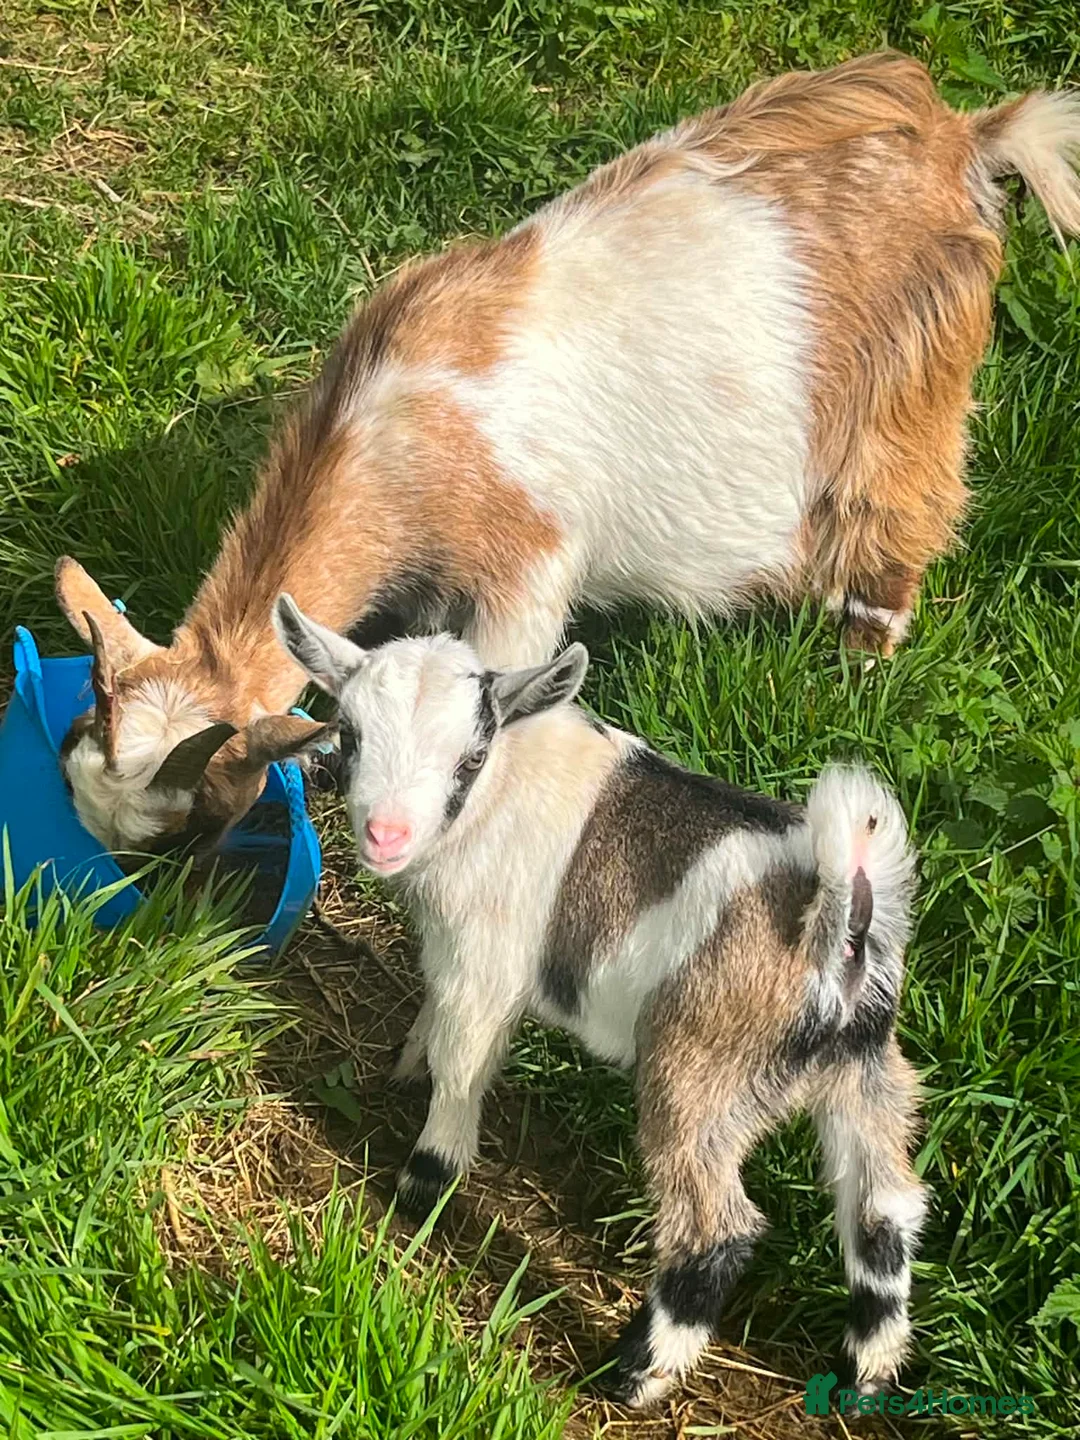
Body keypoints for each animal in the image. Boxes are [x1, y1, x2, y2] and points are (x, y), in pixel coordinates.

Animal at [56, 51, 1080, 854]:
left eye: (189, 829)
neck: (394, 427)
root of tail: (965, 135)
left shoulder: (525, 570)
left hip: (913, 387)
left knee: (902, 511)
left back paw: (860, 662)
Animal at [273, 593, 926, 1409]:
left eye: (469, 758)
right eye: (351, 733)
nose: (386, 834)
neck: (500, 787)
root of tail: (839, 919)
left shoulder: (487, 959)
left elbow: (462, 1061)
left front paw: (423, 1183)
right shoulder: (452, 948)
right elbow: (433, 1011)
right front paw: (405, 1066)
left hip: (700, 1071)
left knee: (717, 1225)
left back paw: (636, 1373)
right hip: (864, 1072)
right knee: (883, 1212)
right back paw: (865, 1376)